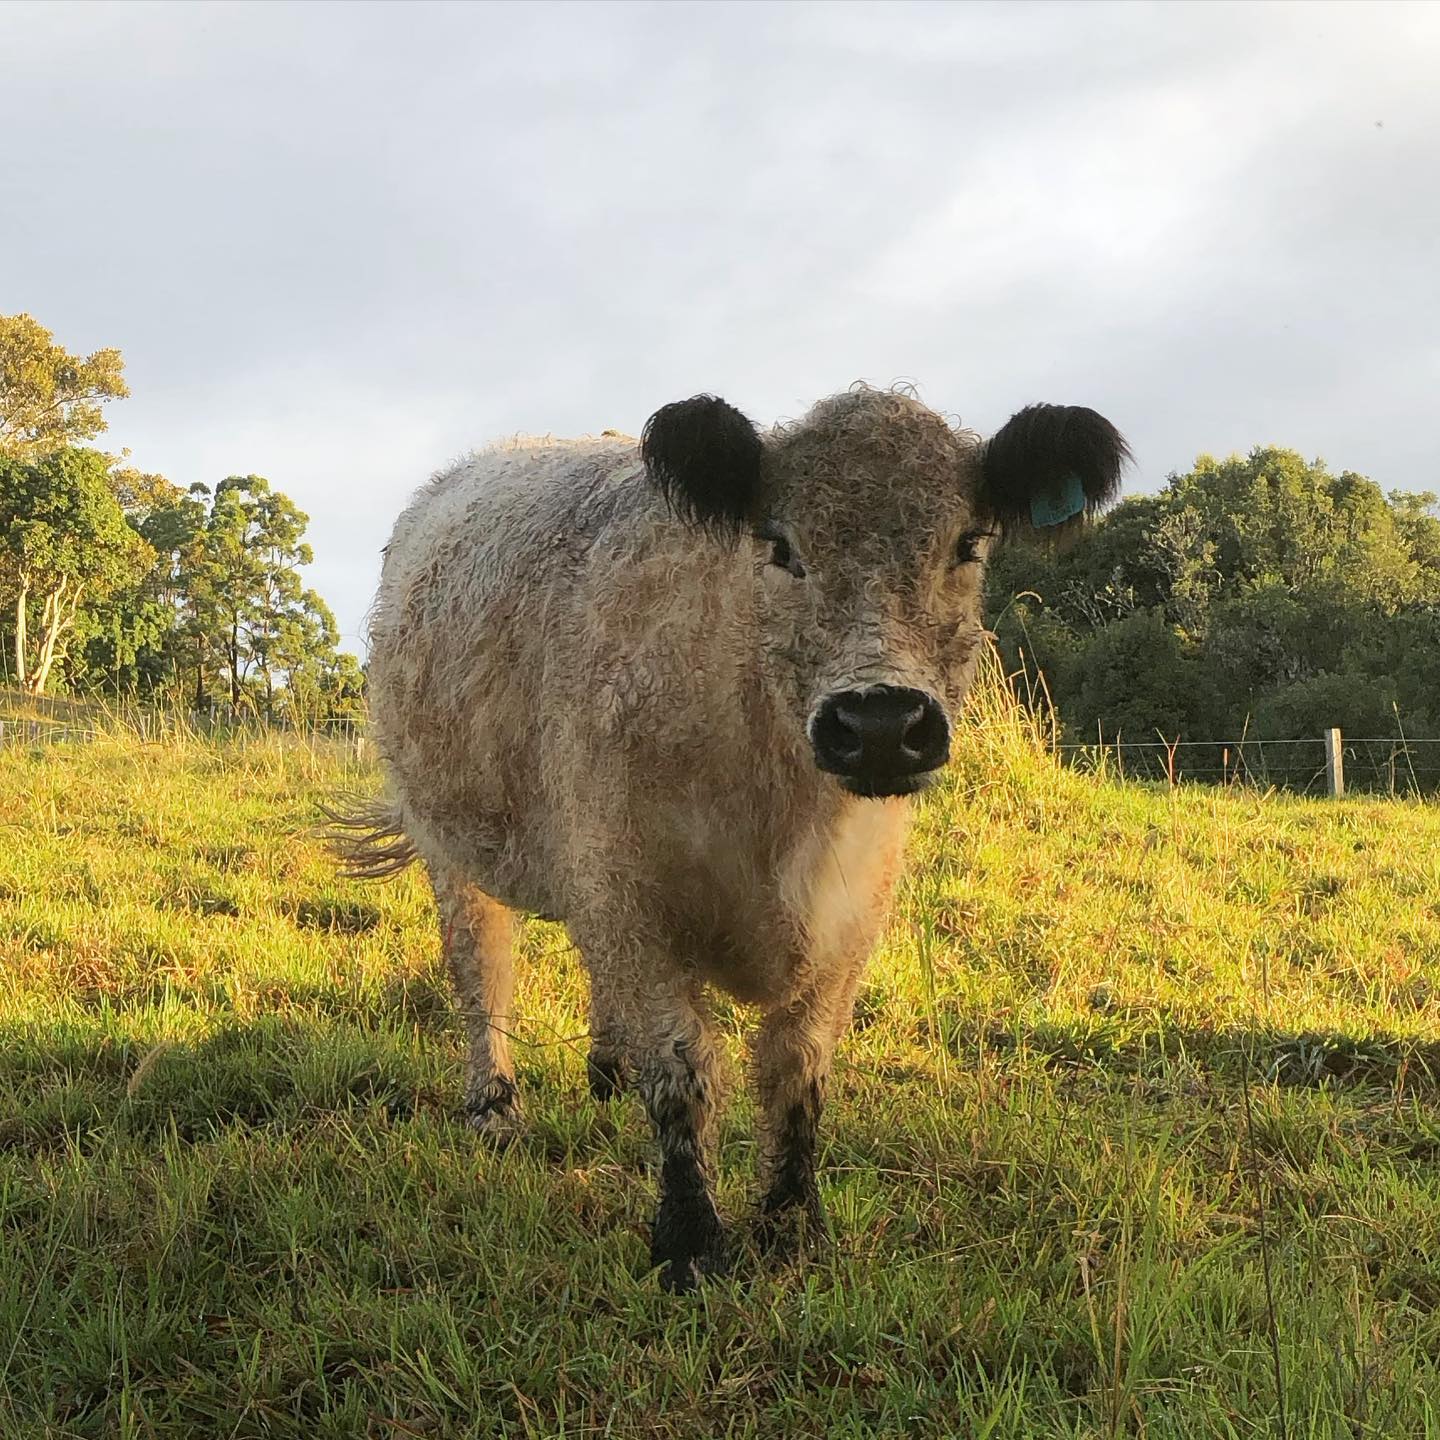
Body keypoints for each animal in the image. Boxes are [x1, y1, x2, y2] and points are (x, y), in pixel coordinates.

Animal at [331, 384, 1127, 1291]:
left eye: (968, 542)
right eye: (779, 545)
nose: (880, 725)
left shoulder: (851, 920)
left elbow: (796, 1070)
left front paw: (792, 1229)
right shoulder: (632, 895)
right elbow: (683, 1069)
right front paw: (690, 1240)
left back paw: (606, 1071)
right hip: (450, 840)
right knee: (482, 970)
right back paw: (494, 1110)